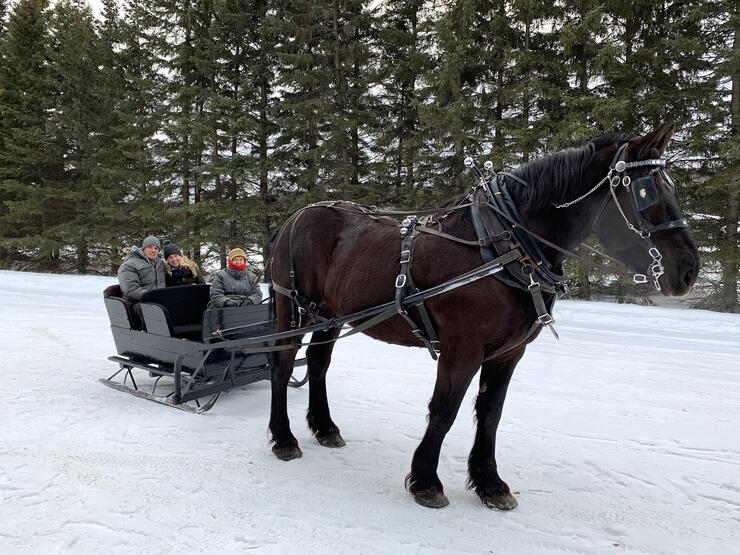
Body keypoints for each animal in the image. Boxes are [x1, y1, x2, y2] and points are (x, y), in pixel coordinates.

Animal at [266, 123, 700, 510]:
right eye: (646, 193)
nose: (689, 271)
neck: (504, 246)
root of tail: (297, 215)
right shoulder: (462, 348)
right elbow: (445, 410)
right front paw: (426, 481)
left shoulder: (508, 353)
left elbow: (490, 414)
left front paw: (490, 483)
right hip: (293, 307)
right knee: (283, 363)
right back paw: (284, 438)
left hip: (328, 314)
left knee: (317, 363)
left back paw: (325, 428)